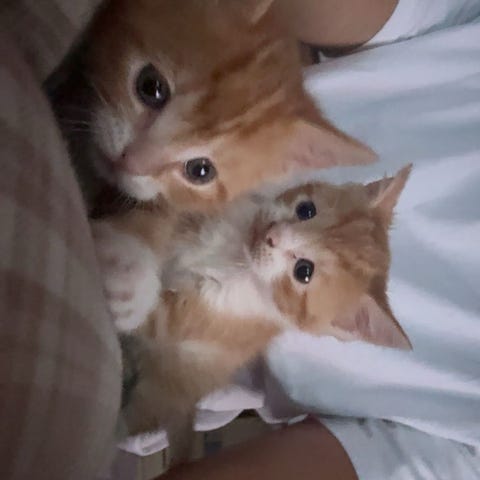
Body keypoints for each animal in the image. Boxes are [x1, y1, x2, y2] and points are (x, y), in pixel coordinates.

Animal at [92, 165, 412, 464]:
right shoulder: (194, 217)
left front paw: (122, 287)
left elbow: (159, 317)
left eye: (304, 271)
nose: (271, 236)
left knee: (133, 418)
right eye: (305, 209)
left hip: (158, 392)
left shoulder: (210, 321)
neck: (235, 254)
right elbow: (154, 223)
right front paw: (123, 249)